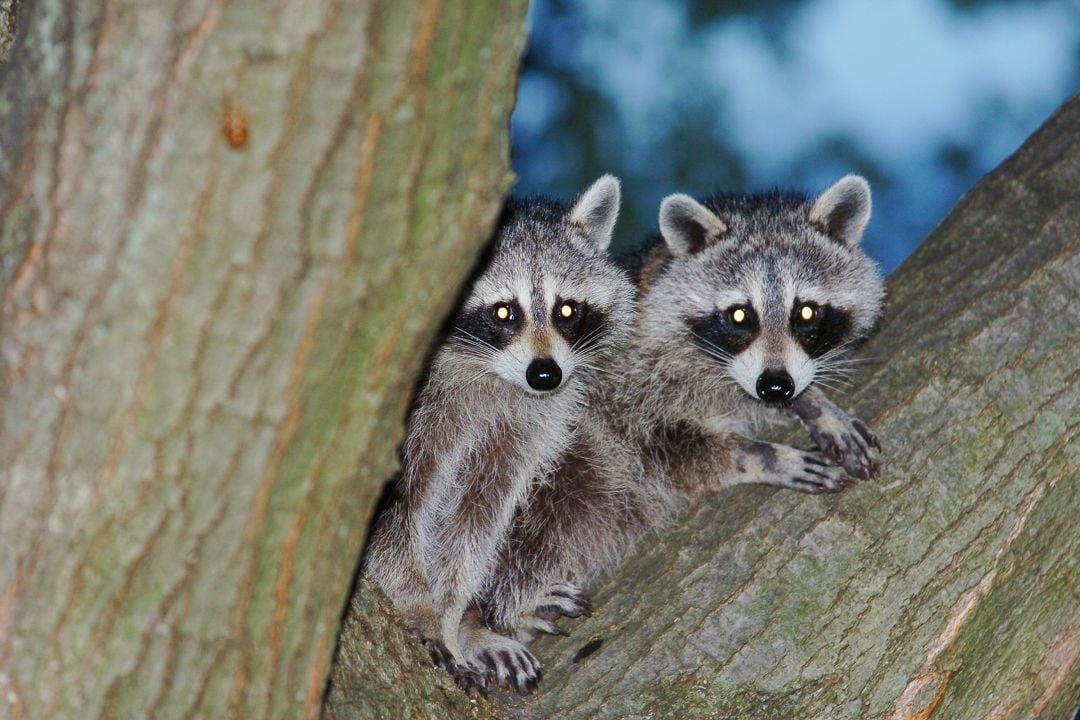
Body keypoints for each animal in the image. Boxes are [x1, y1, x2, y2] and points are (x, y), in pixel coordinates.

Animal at [362, 174, 630, 690]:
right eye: (504, 313)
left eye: (567, 310)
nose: (545, 375)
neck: (486, 374)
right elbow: (393, 516)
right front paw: (417, 607)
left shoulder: (521, 431)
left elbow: (473, 523)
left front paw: (450, 620)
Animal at [481, 174, 885, 677]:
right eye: (740, 315)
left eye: (806, 313)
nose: (776, 387)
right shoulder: (623, 391)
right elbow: (670, 449)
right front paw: (759, 456)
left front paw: (815, 404)